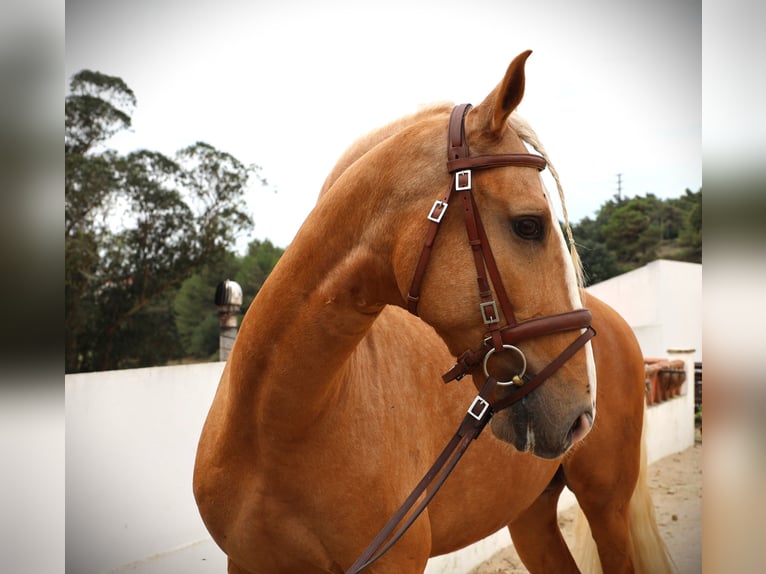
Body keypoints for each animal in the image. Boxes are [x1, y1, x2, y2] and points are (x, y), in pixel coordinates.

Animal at [194, 51, 672, 572]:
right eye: (529, 225)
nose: (582, 414)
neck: (275, 427)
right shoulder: (246, 562)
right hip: (529, 516)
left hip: (606, 506)